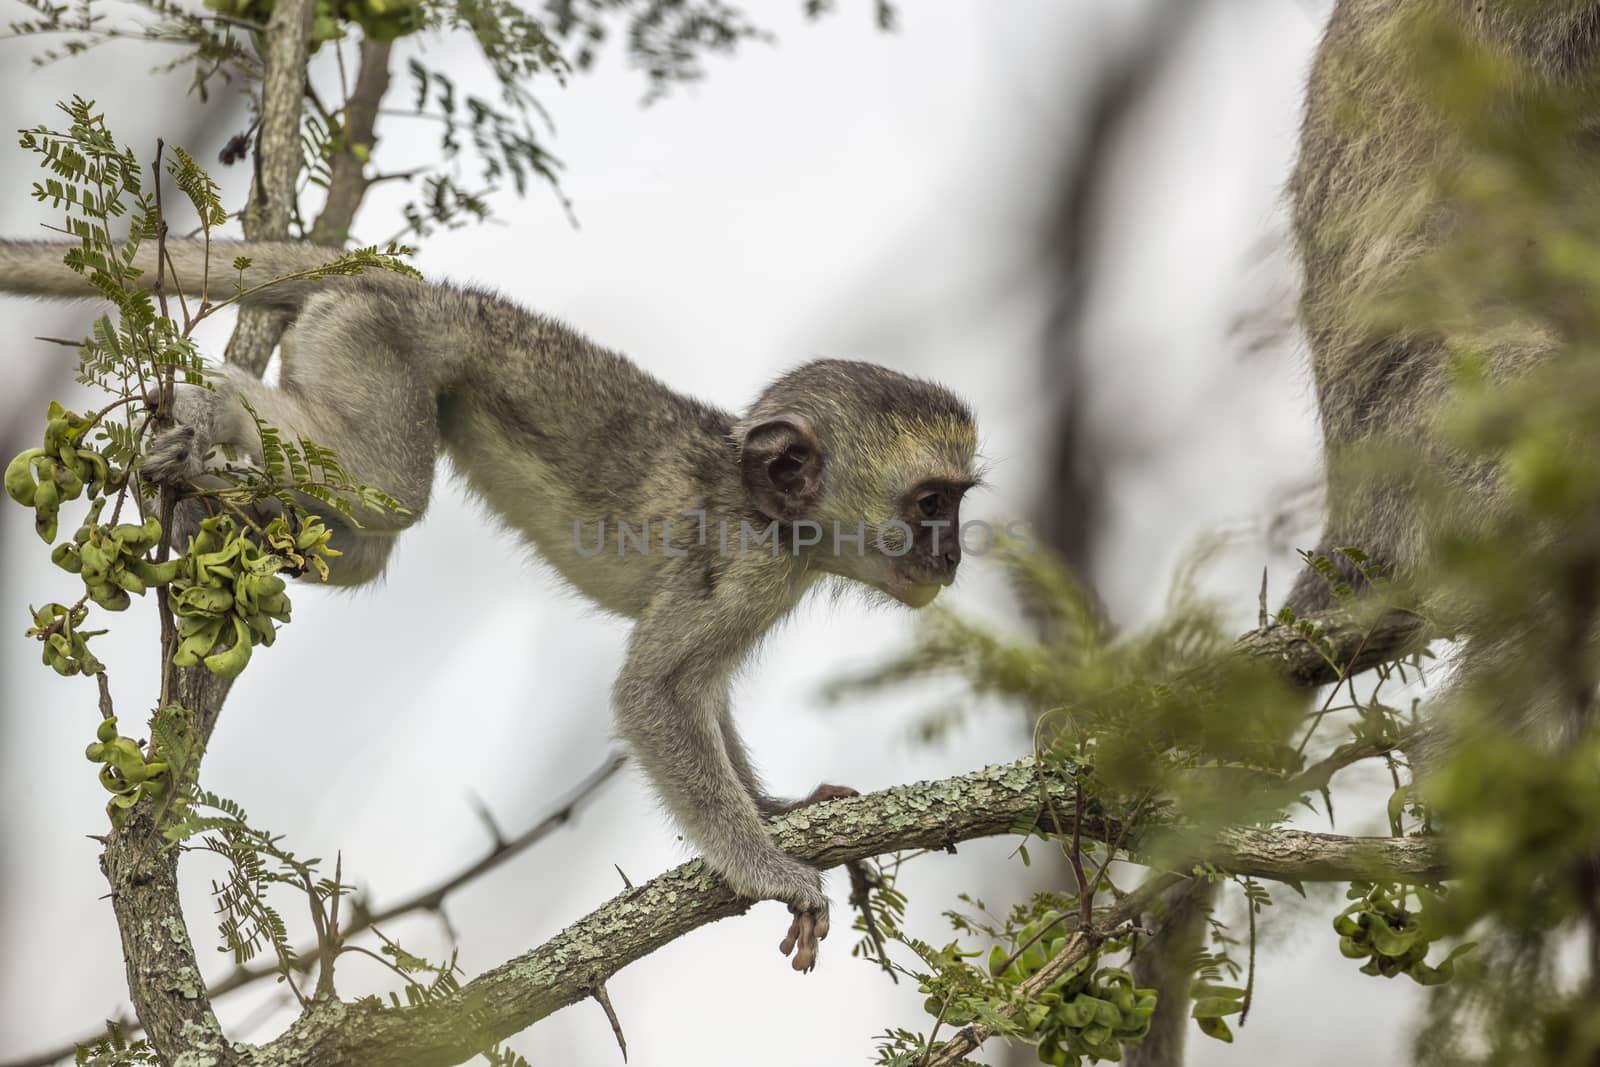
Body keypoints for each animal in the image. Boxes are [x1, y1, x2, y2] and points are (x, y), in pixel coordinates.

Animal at [0, 238, 979, 972]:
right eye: (931, 503)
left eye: (957, 504)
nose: (954, 556)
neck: (762, 504)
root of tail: (424, 291)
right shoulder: (740, 565)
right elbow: (655, 696)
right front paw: (771, 869)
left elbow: (696, 697)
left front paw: (777, 810)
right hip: (377, 346)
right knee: (387, 488)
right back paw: (205, 408)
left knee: (364, 542)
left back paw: (209, 494)